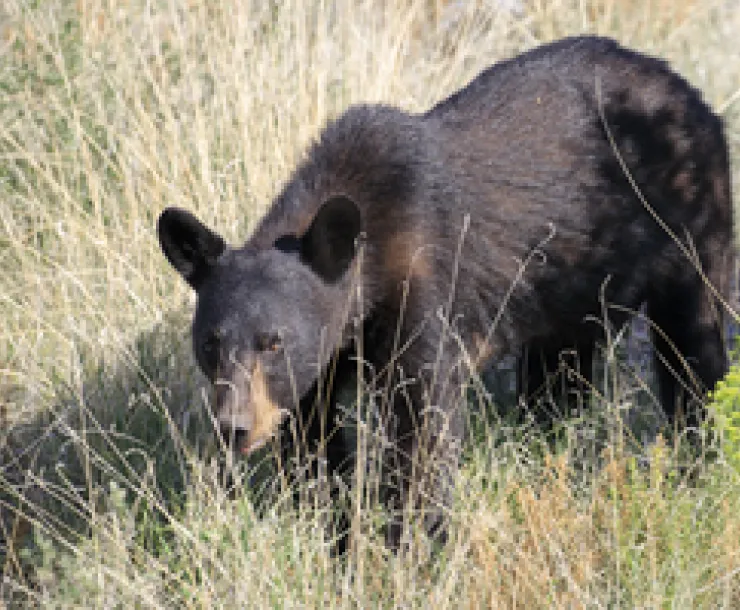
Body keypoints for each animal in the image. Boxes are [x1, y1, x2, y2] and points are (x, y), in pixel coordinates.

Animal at [157, 35, 733, 549]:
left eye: (273, 341)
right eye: (210, 342)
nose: (234, 427)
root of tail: (687, 89)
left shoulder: (426, 289)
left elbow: (422, 427)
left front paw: (409, 548)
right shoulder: (320, 361)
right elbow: (312, 440)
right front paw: (334, 535)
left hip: (691, 224)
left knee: (693, 349)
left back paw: (698, 459)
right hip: (564, 287)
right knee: (559, 368)